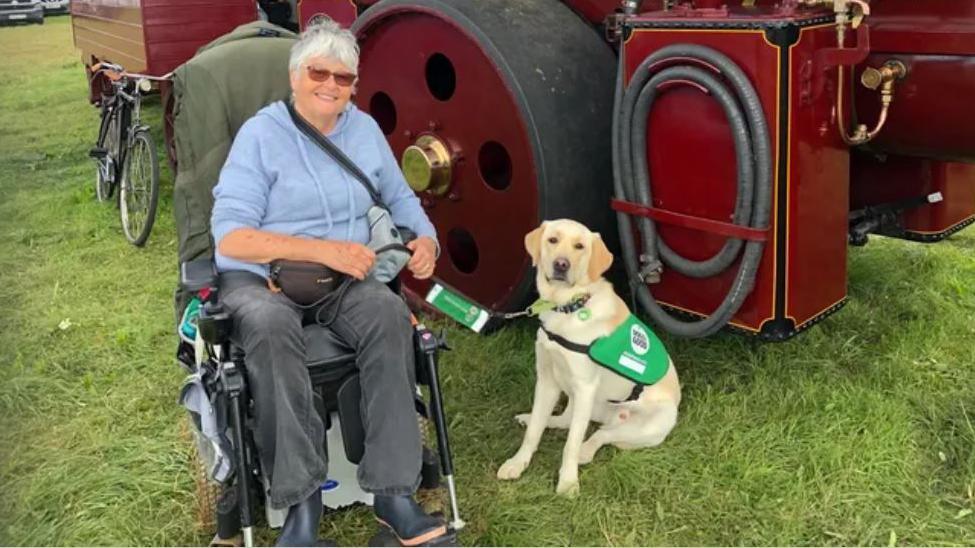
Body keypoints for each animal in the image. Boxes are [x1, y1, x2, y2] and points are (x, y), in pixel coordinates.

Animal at [496, 218, 680, 496]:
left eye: (579, 246)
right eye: (552, 240)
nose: (561, 264)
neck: (568, 308)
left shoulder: (585, 387)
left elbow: (571, 443)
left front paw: (568, 482)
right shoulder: (547, 381)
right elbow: (535, 431)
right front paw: (518, 463)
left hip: (646, 425)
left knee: (601, 434)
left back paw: (585, 451)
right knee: (565, 421)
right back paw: (530, 419)